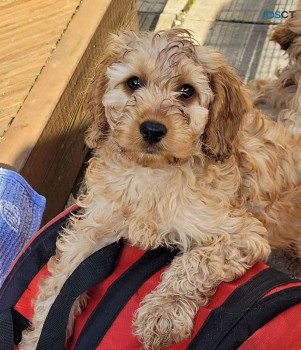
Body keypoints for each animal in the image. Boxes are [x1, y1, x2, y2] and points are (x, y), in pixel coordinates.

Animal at [19, 28, 300, 348]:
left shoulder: (241, 234)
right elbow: (60, 283)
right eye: (133, 83)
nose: (152, 129)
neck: (153, 173)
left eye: (187, 91)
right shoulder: (94, 224)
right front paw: (39, 336)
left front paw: (162, 311)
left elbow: (196, 261)